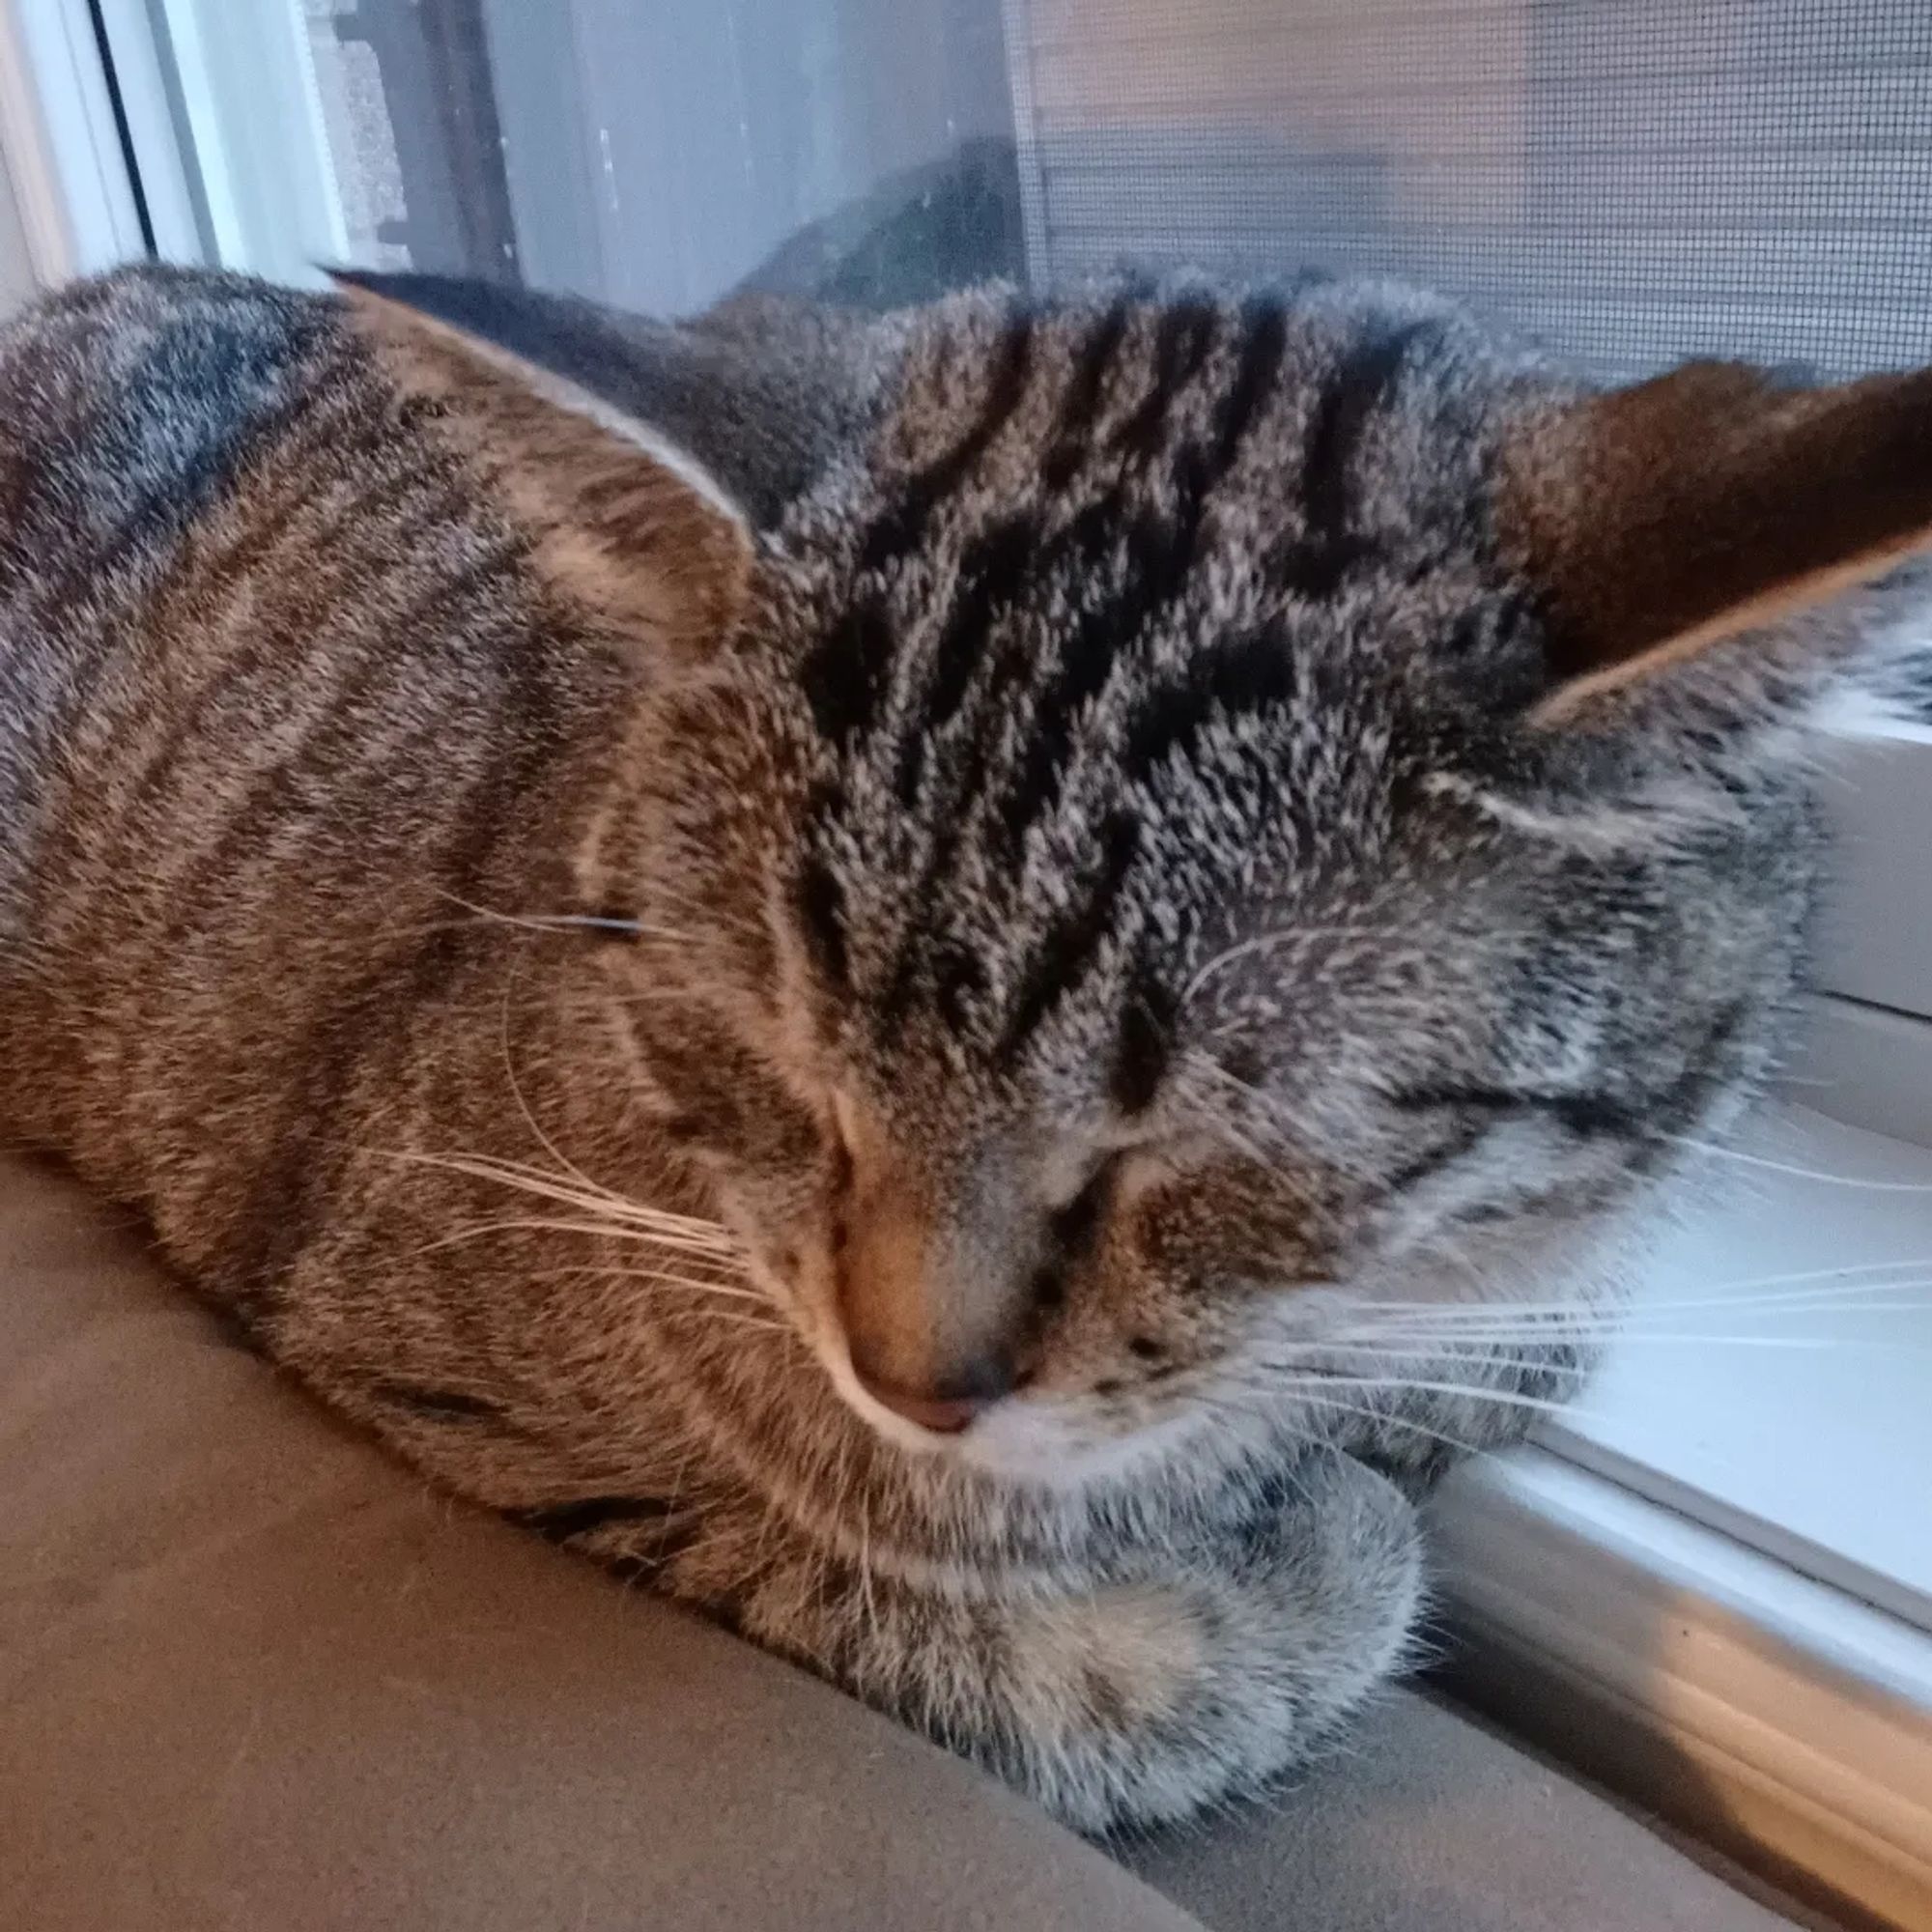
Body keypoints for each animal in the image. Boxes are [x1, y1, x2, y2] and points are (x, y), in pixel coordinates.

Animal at [0, 265, 1924, 1832]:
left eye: (1201, 1149)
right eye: (779, 1063)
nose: (913, 1384)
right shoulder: (457, 1380)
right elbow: (1038, 1657)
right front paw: (1317, 1557)